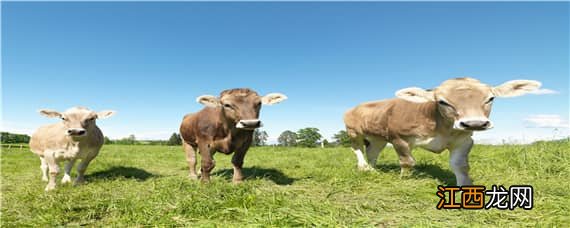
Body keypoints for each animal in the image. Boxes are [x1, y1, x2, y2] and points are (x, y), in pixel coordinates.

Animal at [344, 78, 540, 185]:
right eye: (443, 102)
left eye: (490, 98)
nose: (475, 123)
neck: (441, 127)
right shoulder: (398, 137)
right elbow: (407, 161)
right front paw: (405, 179)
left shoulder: (465, 140)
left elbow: (460, 165)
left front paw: (465, 186)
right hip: (354, 132)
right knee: (357, 148)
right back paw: (363, 167)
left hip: (378, 137)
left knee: (373, 151)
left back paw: (372, 169)